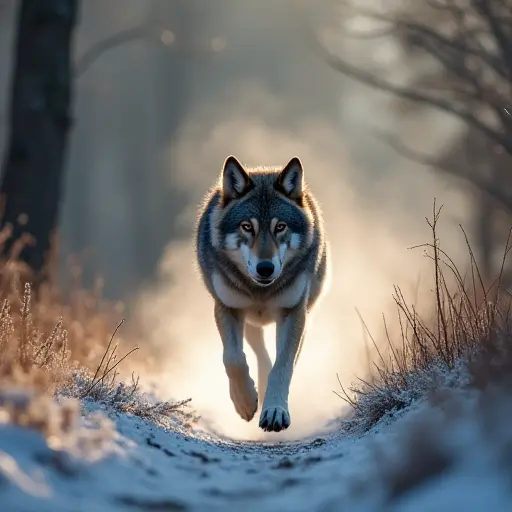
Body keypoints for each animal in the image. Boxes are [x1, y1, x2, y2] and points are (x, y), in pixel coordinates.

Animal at [194, 156, 330, 432]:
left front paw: (275, 411)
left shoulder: (292, 313)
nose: (265, 268)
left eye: (280, 227)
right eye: (247, 226)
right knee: (256, 349)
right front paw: (245, 401)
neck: (261, 291)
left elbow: (283, 366)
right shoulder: (228, 307)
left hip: (303, 315)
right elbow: (233, 358)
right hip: (250, 320)